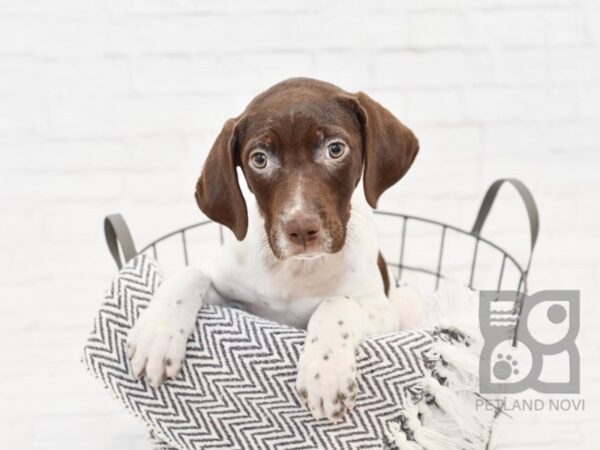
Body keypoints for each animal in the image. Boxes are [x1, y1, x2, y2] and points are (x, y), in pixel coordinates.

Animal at [127, 78, 422, 422]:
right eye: (260, 159)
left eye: (335, 149)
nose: (301, 229)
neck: (296, 269)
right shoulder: (235, 303)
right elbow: (190, 274)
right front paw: (156, 335)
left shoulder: (380, 313)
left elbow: (337, 303)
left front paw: (325, 371)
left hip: (407, 302)